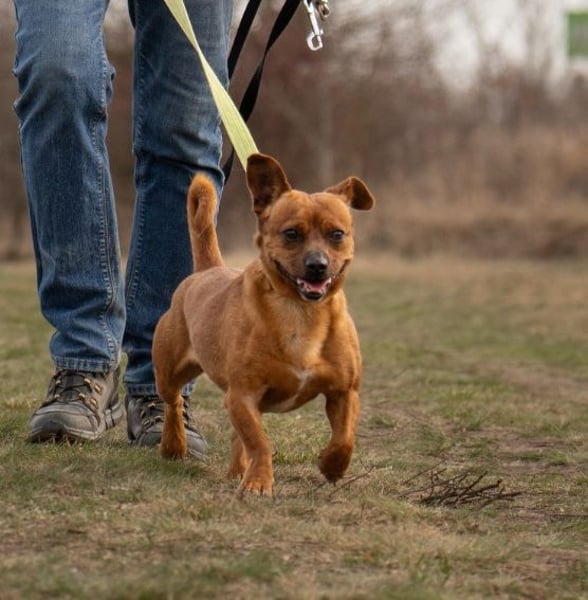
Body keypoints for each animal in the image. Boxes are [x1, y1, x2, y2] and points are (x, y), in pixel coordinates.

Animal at [153, 153, 375, 496]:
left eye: (337, 234)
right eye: (291, 234)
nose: (317, 266)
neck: (300, 312)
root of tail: (207, 270)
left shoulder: (344, 392)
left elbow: (344, 439)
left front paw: (331, 465)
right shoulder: (243, 395)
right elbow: (260, 442)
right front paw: (258, 482)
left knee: (235, 435)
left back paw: (236, 469)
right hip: (170, 370)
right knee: (174, 401)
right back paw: (174, 444)